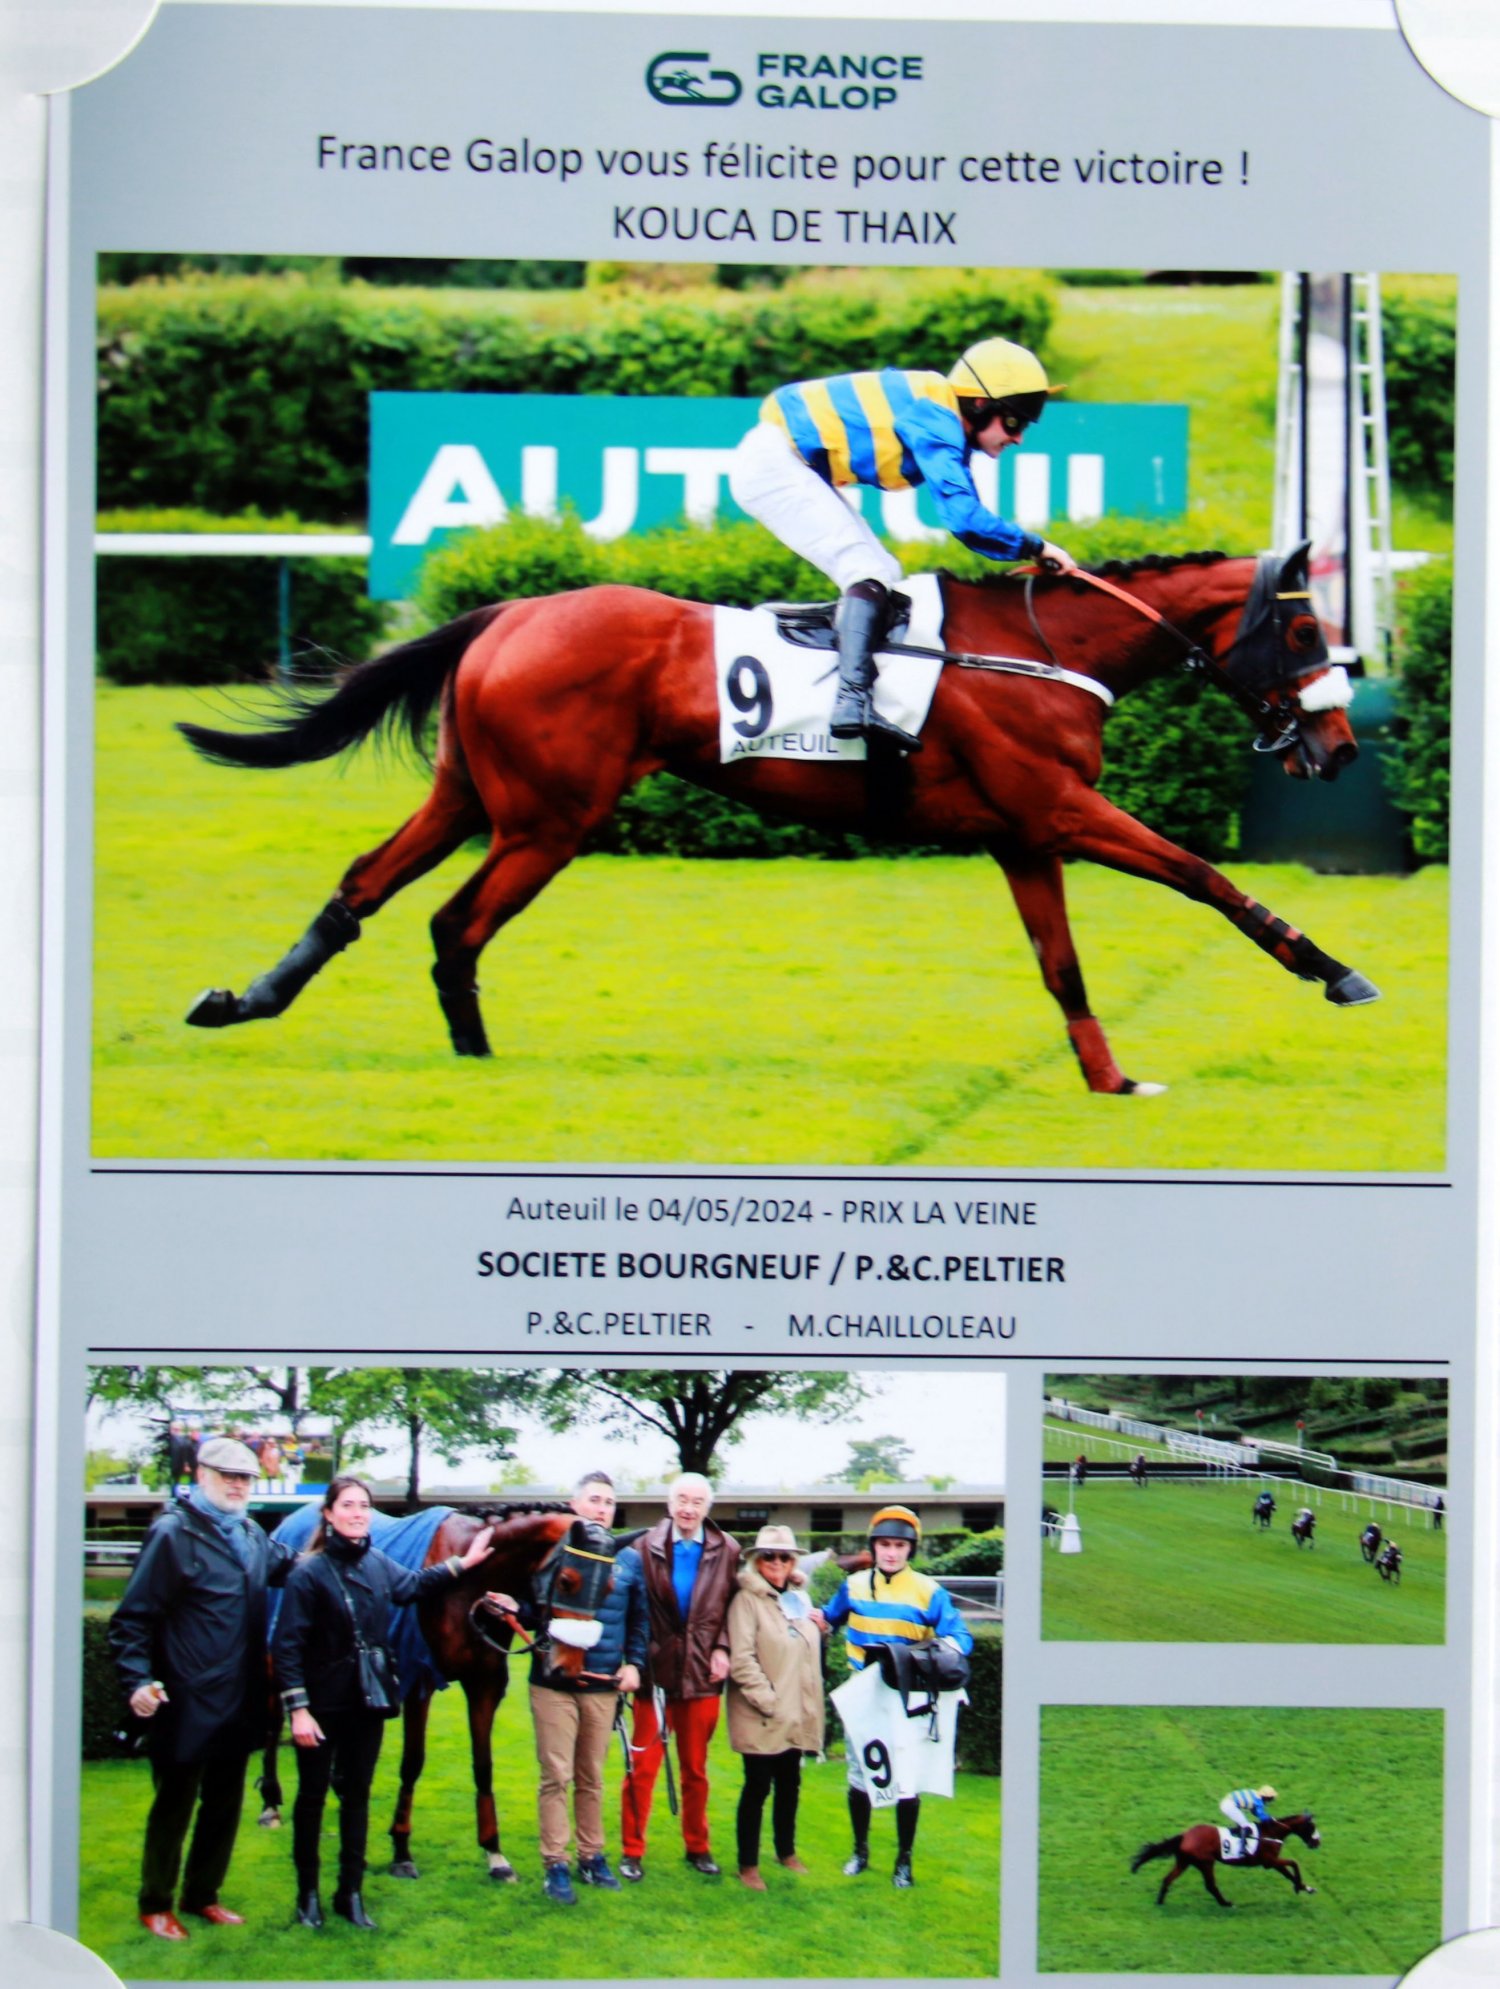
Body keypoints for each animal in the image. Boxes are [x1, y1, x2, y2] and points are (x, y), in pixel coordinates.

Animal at [177, 544, 1375, 1097]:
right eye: (1303, 636)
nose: (1341, 747)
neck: (1041, 650)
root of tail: (510, 611)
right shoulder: (1064, 810)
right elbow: (1204, 876)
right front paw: (1332, 970)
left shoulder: (1025, 834)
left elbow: (1062, 964)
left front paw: (1108, 1078)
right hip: (549, 820)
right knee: (455, 924)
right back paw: (475, 1059)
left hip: (472, 794)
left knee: (366, 885)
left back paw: (246, 1000)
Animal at [1132, 1811, 1321, 1907]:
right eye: (1311, 1826)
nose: (1317, 1842)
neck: (1271, 1832)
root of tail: (1184, 1836)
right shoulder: (1270, 1861)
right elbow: (1294, 1863)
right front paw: (1299, 1886)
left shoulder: (1272, 1862)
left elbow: (1289, 1873)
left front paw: (1305, 1887)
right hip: (1206, 1862)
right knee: (1210, 1885)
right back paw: (1225, 1903)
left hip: (1185, 1862)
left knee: (1167, 1879)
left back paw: (1160, 1902)